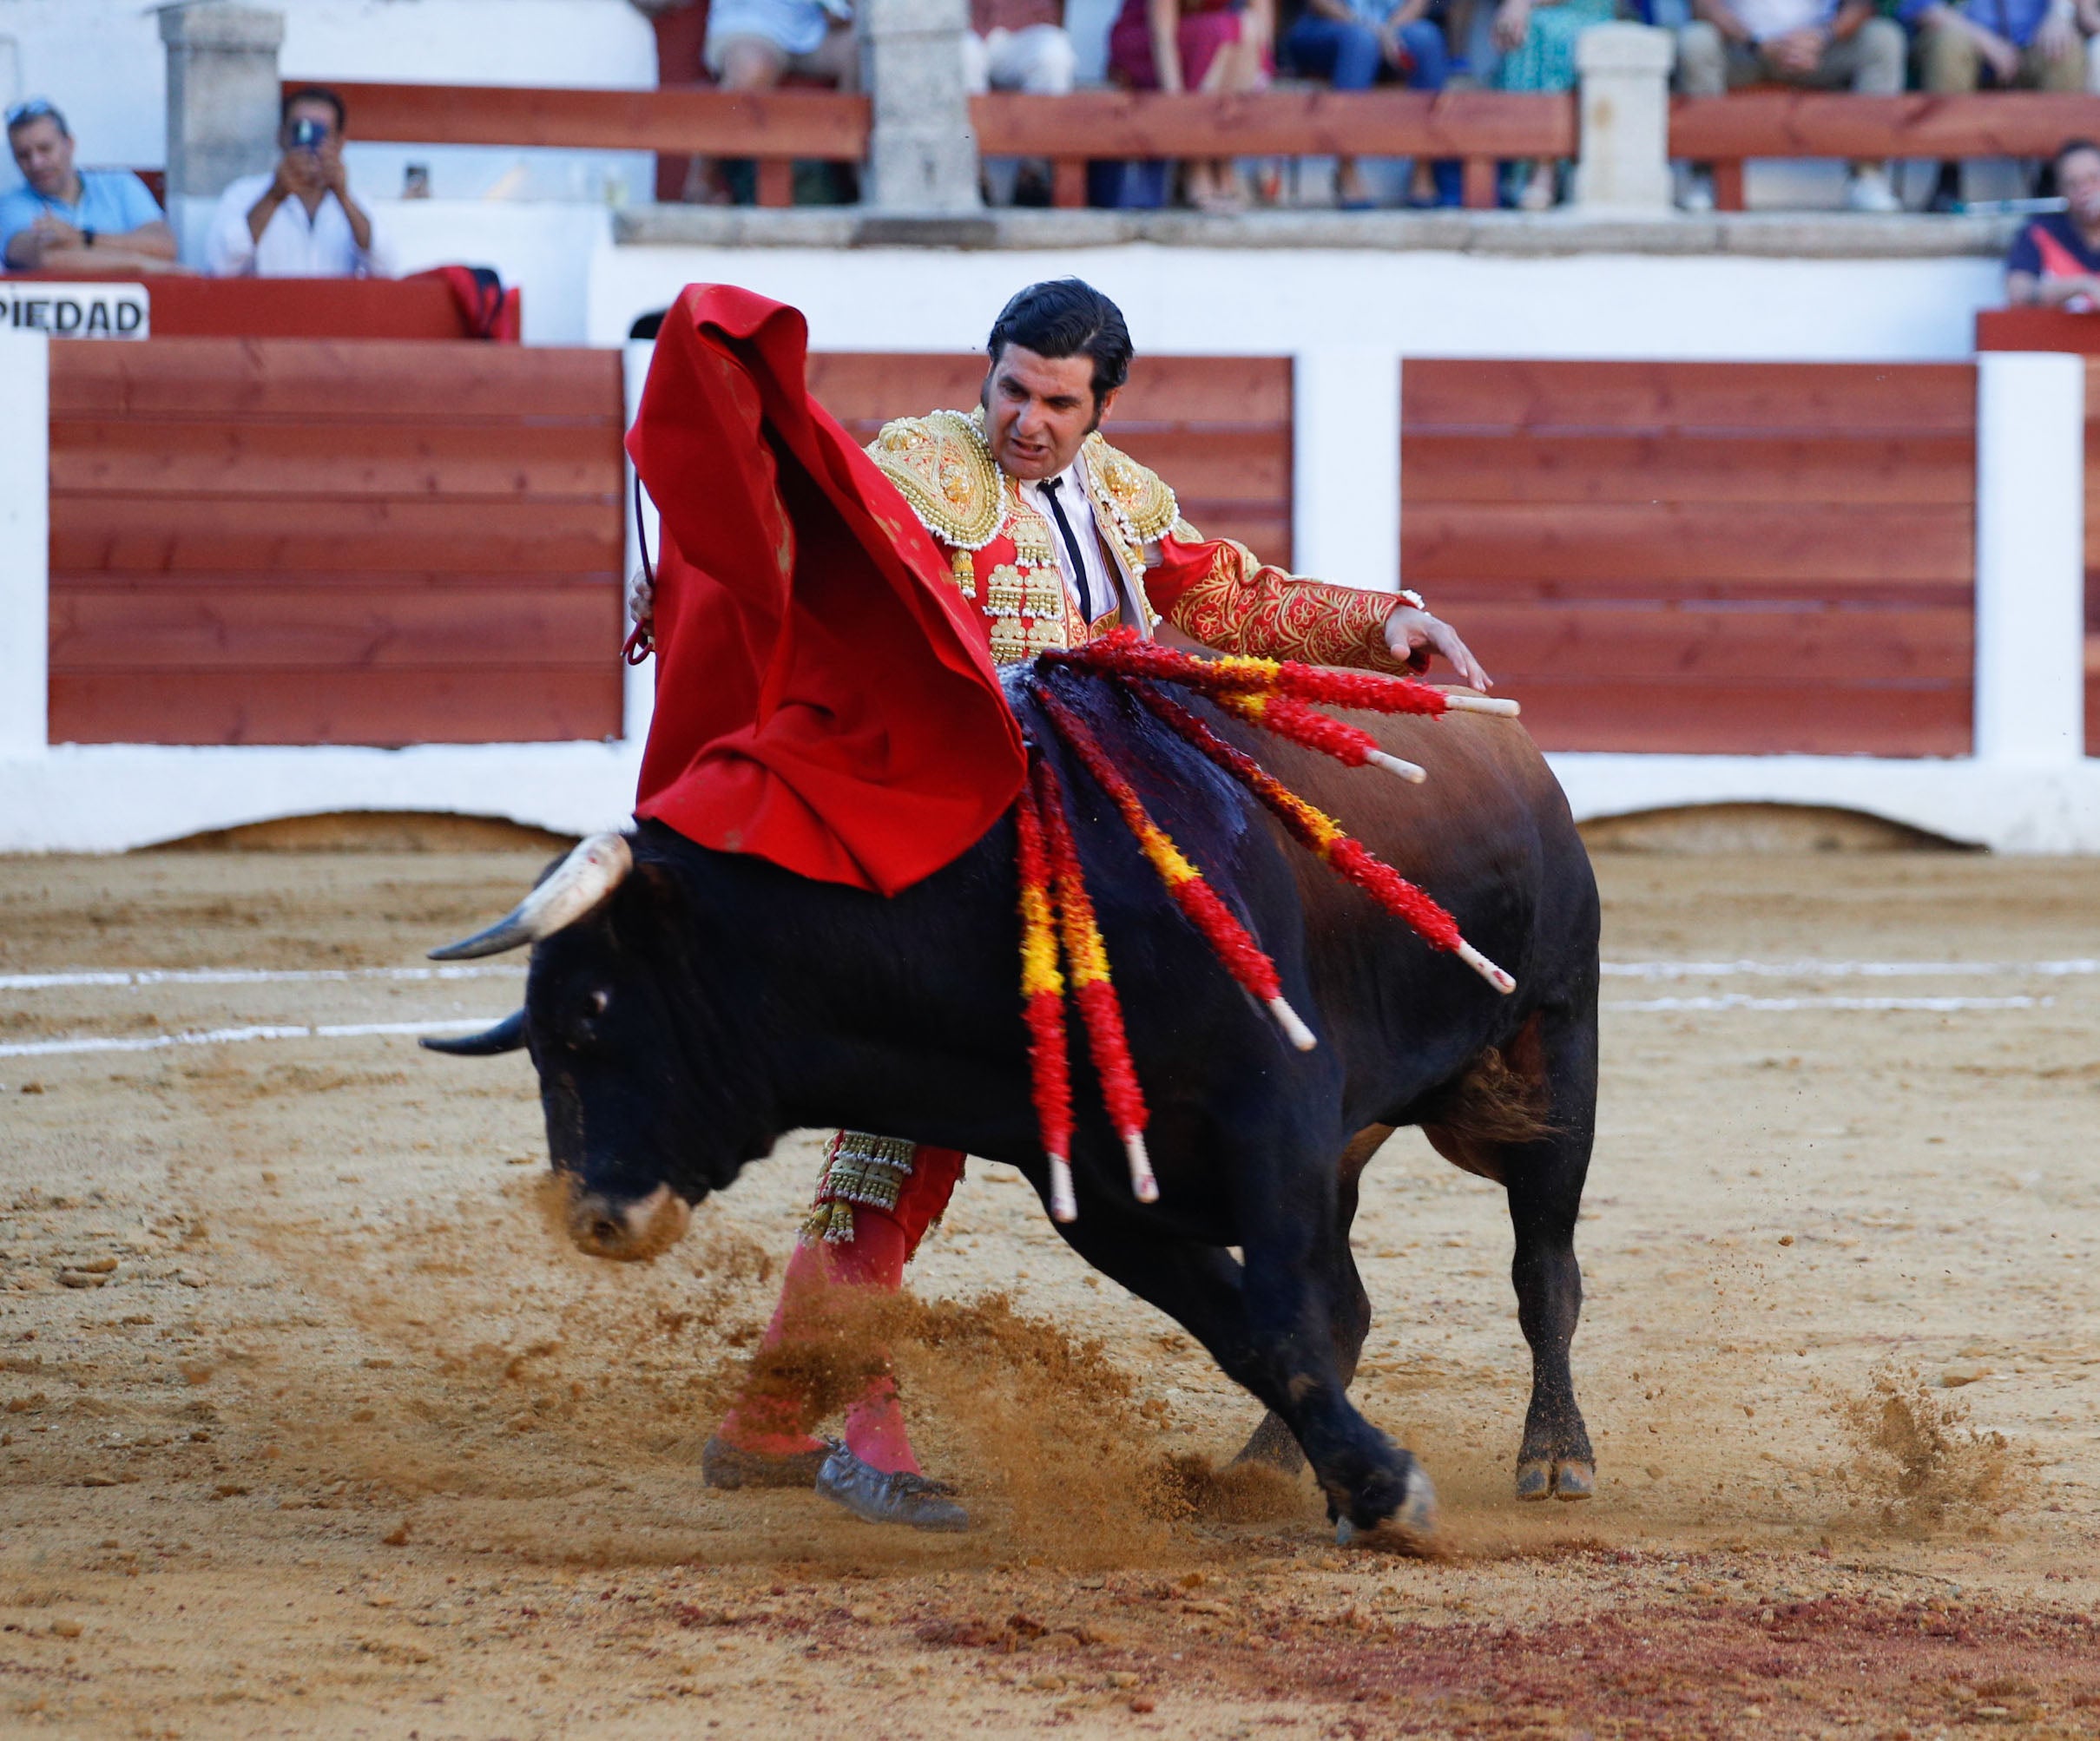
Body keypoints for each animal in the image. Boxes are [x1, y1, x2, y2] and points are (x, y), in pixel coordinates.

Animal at [434, 672, 1596, 1545]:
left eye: (591, 1012)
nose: (597, 1216)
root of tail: (1516, 747)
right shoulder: (1110, 1197)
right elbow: (1254, 1332)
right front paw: (1362, 1481)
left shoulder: (1275, 1129)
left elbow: (1283, 1318)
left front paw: (1384, 1492)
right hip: (1356, 1143)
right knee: (1344, 1304)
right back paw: (1265, 1465)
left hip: (1554, 1054)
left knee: (1542, 1268)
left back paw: (1556, 1455)